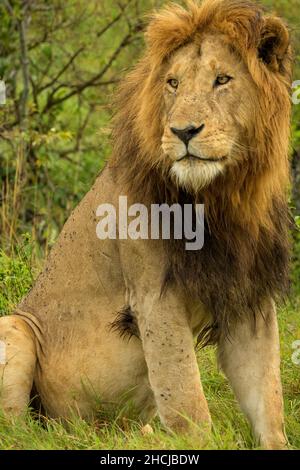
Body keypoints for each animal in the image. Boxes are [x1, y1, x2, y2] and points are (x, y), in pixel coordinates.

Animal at [0, 0, 292, 450]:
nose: (183, 131)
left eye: (222, 79)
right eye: (172, 83)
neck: (222, 200)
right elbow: (187, 398)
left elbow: (267, 395)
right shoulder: (155, 298)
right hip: (14, 327)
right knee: (19, 431)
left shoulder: (249, 297)